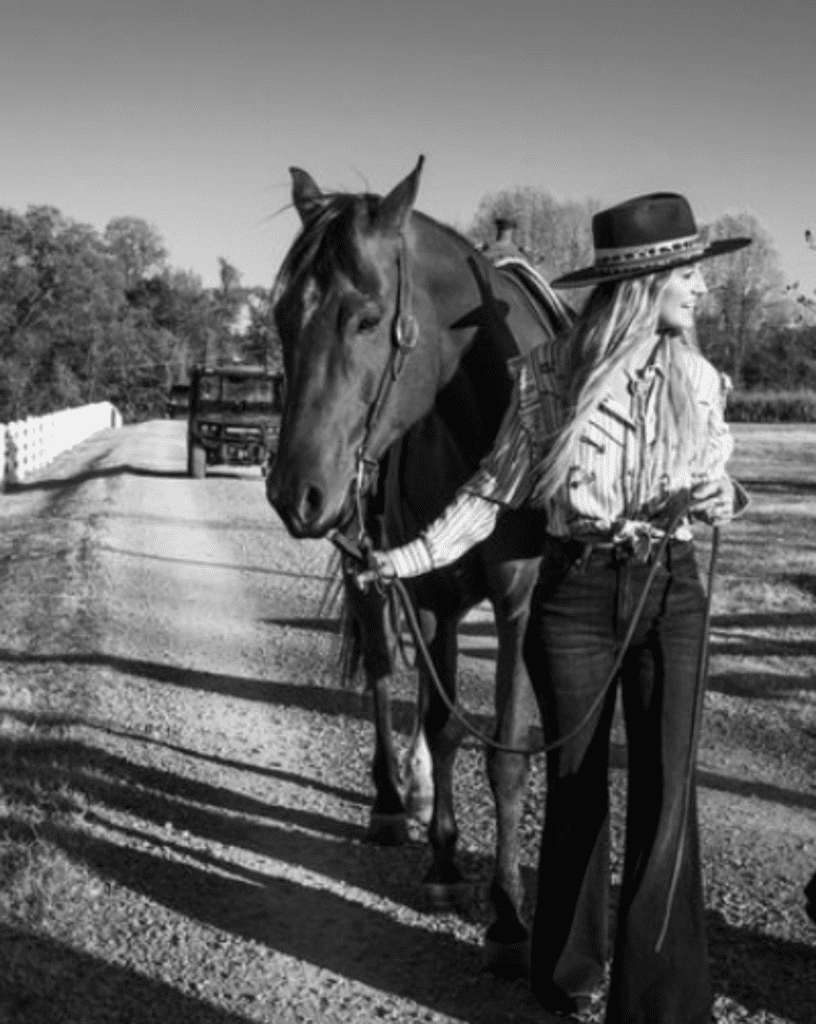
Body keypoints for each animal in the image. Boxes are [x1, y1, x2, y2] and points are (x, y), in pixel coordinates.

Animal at [264, 157, 569, 966]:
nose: (293, 491)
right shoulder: (431, 592)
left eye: (368, 319)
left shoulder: (517, 601)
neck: (488, 419)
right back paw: (390, 799)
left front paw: (508, 913)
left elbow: (507, 751)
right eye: (280, 318)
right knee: (379, 668)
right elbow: (440, 722)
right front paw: (444, 863)